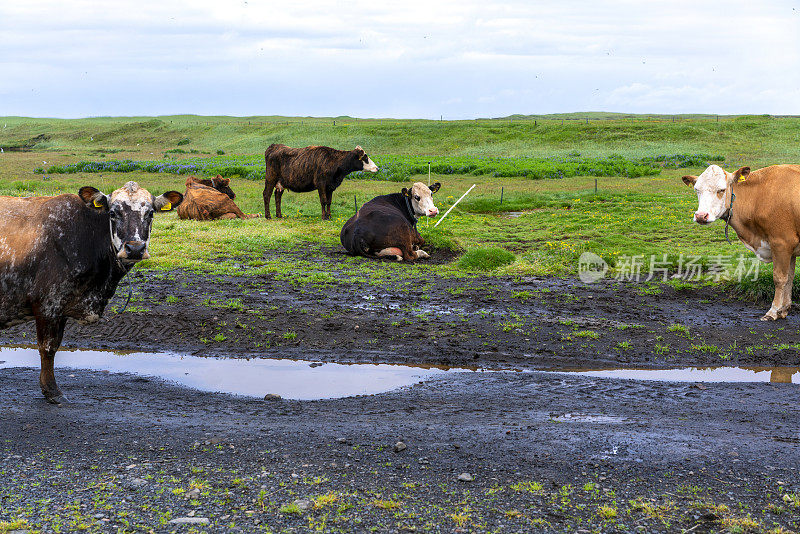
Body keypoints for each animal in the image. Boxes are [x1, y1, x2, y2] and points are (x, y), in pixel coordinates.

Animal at [0, 182, 183, 404]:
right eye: (113, 213)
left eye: (150, 213)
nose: (135, 249)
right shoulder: (48, 304)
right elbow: (47, 348)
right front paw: (52, 391)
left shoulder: (62, 307)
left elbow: (55, 346)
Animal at [680, 165, 800, 320]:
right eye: (697, 190)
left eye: (721, 190)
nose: (701, 216)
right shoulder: (791, 248)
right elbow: (789, 277)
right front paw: (783, 309)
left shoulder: (781, 243)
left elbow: (780, 278)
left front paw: (773, 311)